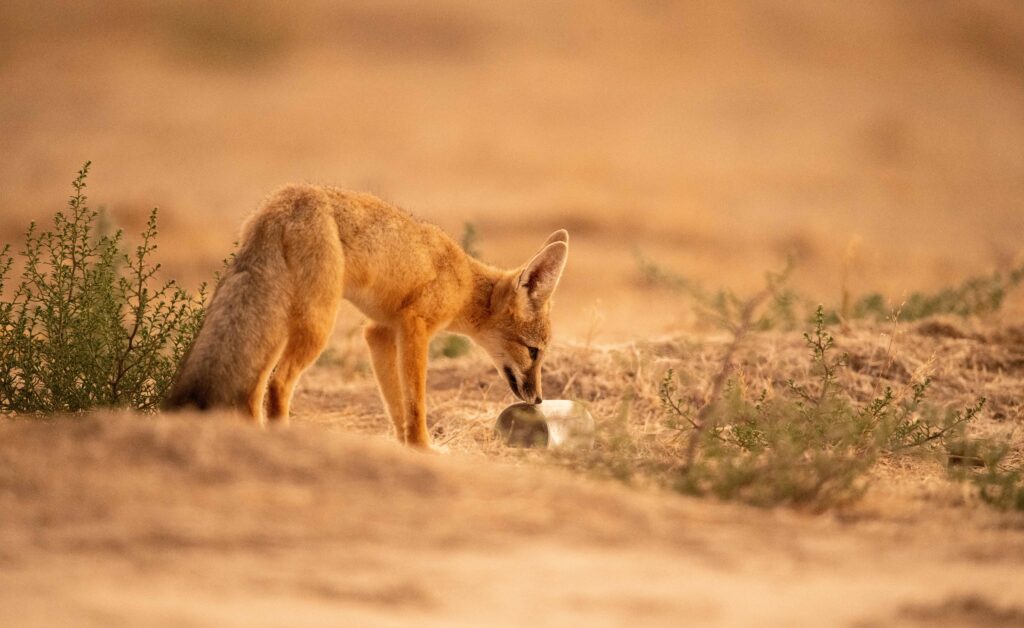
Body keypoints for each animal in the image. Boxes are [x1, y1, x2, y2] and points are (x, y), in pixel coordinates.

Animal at [164, 184, 569, 450]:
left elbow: (395, 406)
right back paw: (284, 439)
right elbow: (416, 405)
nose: (538, 400)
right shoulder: (415, 327)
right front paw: (424, 448)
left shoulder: (379, 332)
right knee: (278, 384)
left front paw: (405, 448)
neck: (464, 280)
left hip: (279, 325)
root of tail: (285, 199)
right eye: (534, 352)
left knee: (253, 390)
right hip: (317, 325)